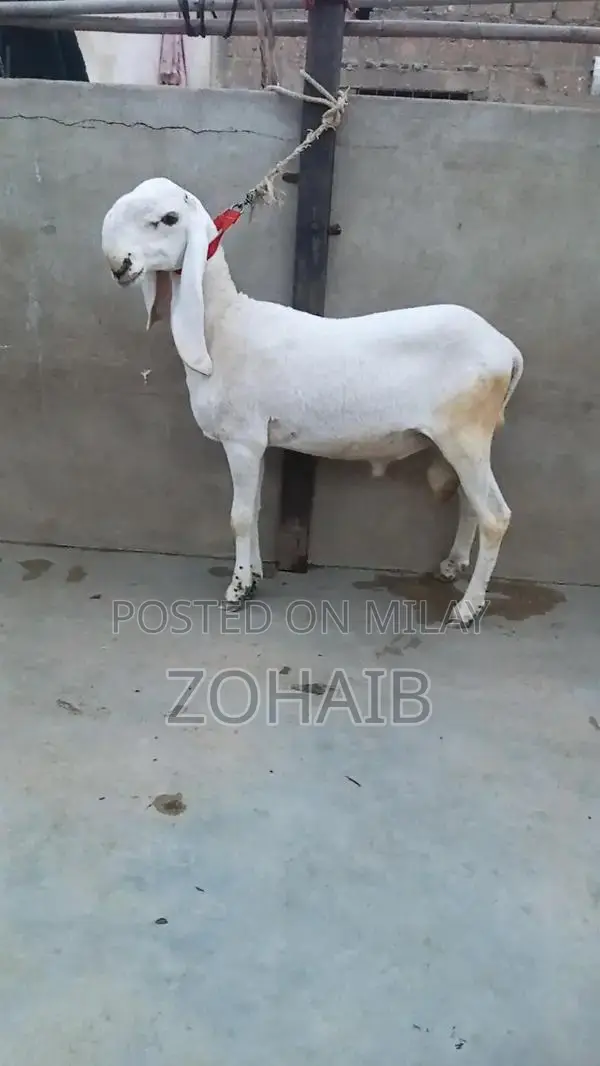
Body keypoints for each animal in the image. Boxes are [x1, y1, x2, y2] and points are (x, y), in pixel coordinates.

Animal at [101, 176, 523, 627]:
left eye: (168, 219)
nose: (120, 265)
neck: (222, 325)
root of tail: (507, 349)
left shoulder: (242, 440)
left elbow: (239, 516)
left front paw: (238, 588)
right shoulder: (258, 441)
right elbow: (255, 508)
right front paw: (253, 575)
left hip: (466, 433)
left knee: (495, 516)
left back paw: (467, 608)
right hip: (462, 441)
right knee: (471, 504)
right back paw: (452, 566)